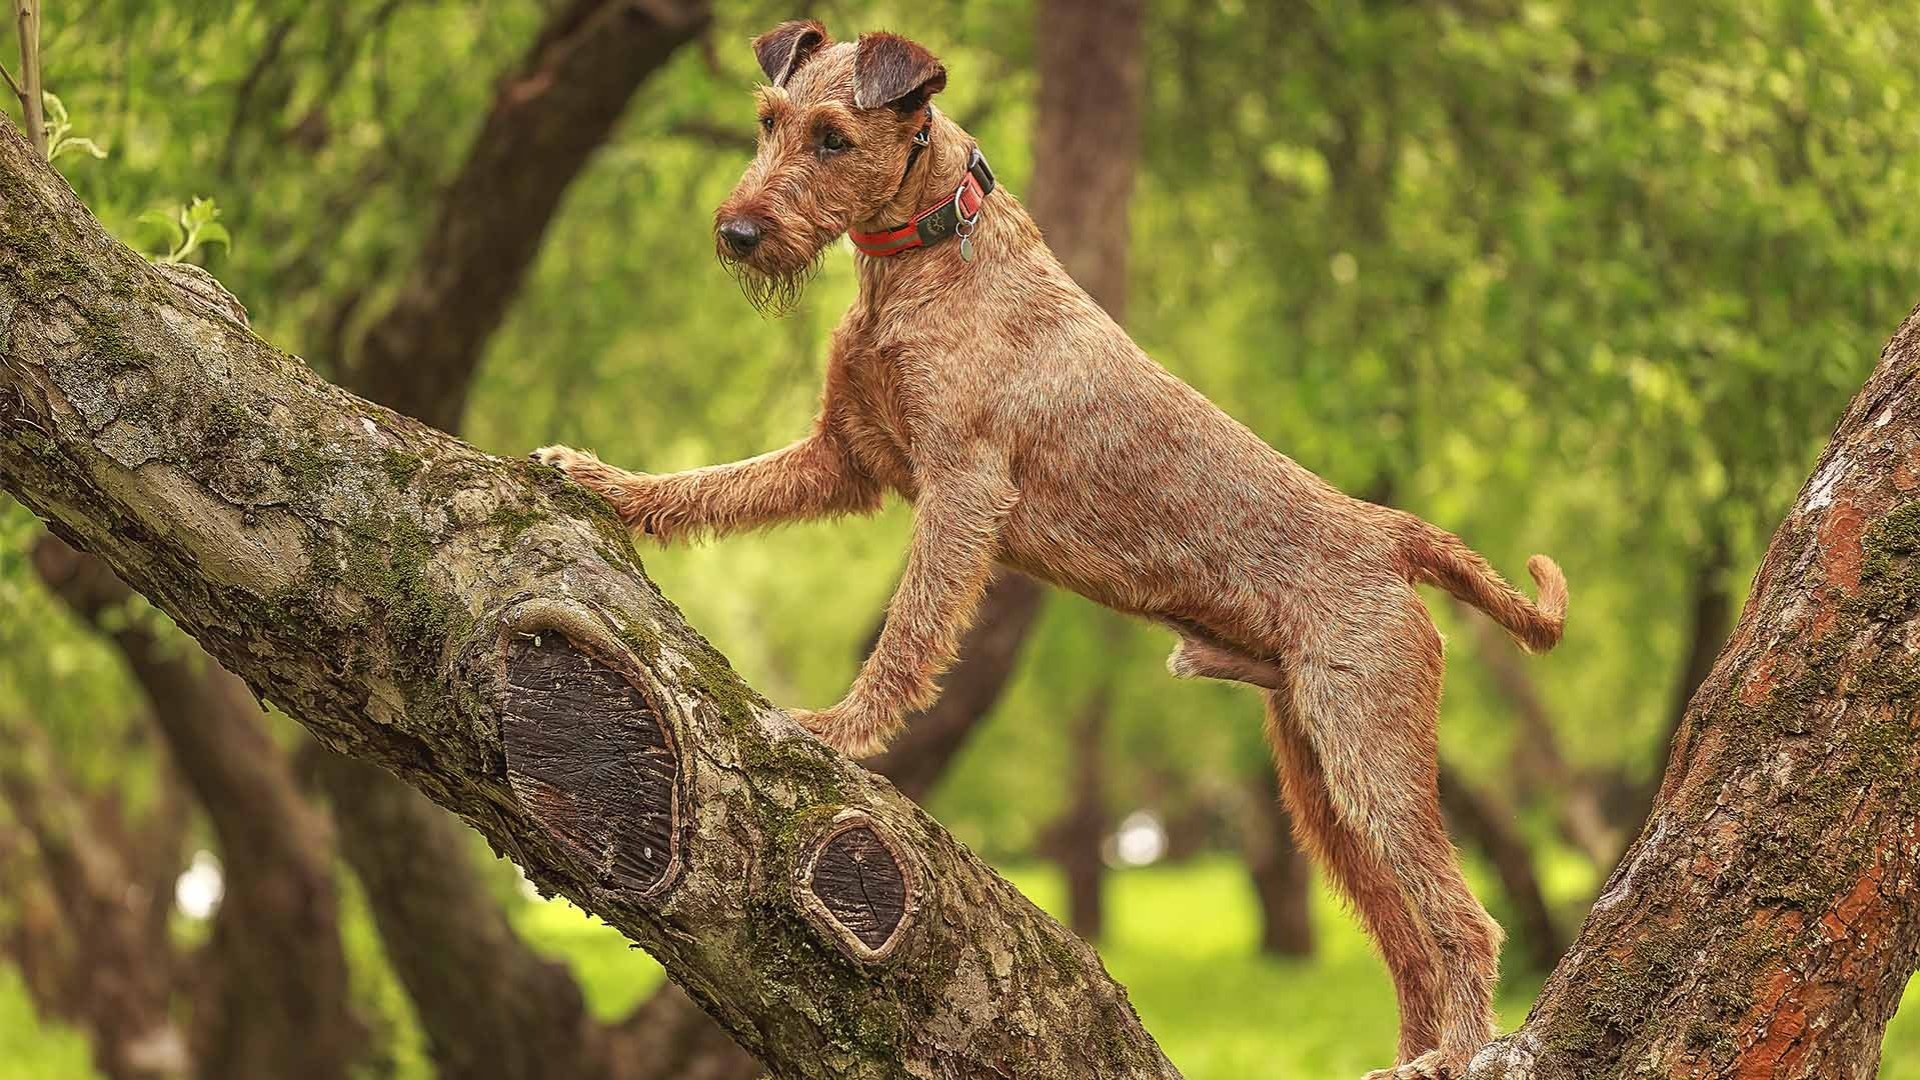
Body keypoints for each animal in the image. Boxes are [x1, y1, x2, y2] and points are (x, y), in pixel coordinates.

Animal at [533, 21, 1566, 1068]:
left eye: (832, 137)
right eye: (768, 121)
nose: (737, 232)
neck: (931, 253)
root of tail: (1390, 533)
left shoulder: (961, 488)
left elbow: (909, 633)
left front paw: (845, 729)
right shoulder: (844, 458)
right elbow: (711, 486)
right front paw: (603, 482)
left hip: (1369, 756)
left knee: (1465, 923)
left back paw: (1460, 1054)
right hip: (1319, 781)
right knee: (1408, 940)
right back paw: (1412, 1058)